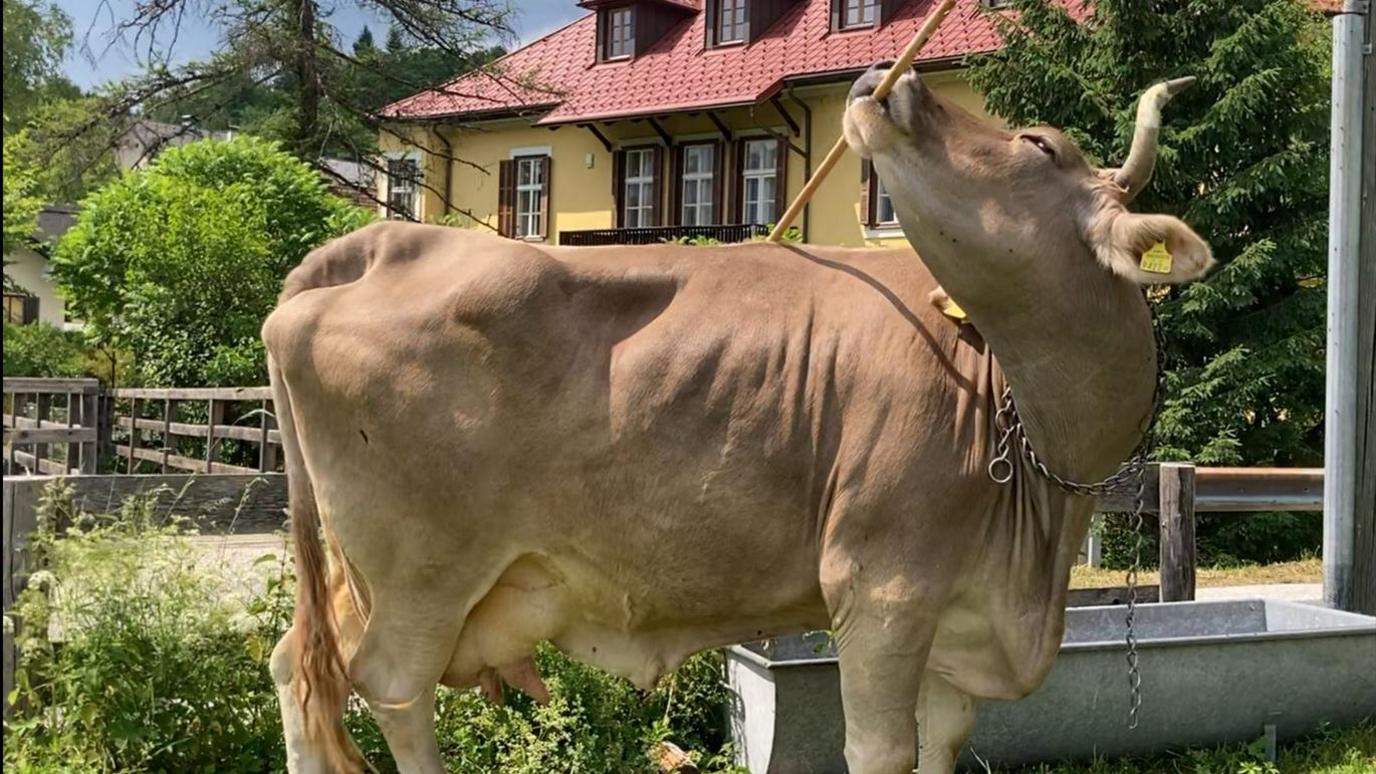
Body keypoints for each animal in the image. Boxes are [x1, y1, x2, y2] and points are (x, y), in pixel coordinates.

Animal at [263, 63, 1212, 773]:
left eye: (1037, 142)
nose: (891, 79)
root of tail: (381, 242)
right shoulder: (882, 587)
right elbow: (880, 751)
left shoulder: (960, 623)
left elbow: (942, 743)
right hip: (423, 573)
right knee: (391, 691)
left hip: (358, 572)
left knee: (302, 677)